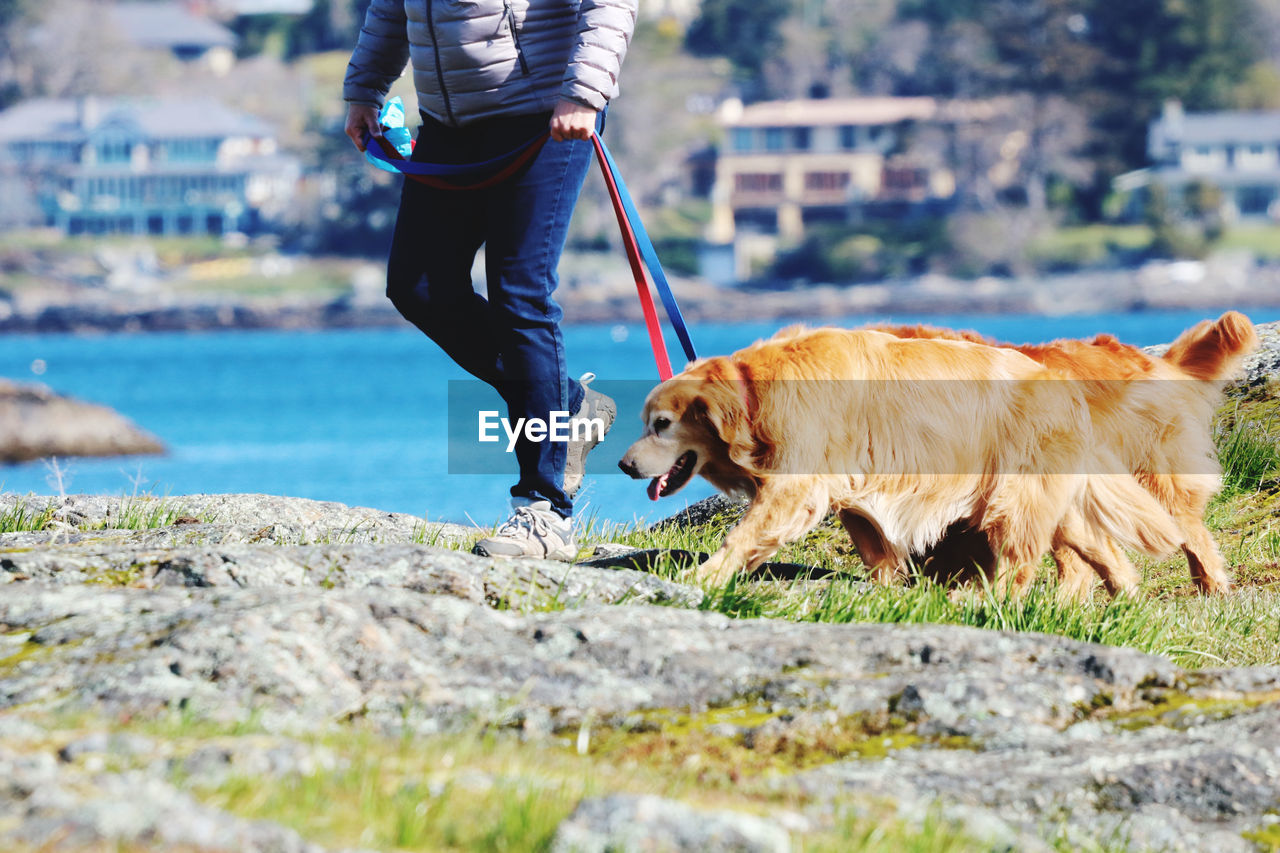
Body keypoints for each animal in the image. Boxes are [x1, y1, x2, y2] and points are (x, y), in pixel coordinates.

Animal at [616, 325, 1177, 591]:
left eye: (661, 424)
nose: (623, 465)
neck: (755, 392)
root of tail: (1064, 383)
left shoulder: (797, 485)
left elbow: (742, 534)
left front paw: (704, 578)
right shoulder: (850, 487)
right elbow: (873, 545)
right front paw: (888, 588)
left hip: (1012, 496)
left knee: (1020, 566)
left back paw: (987, 603)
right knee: (1102, 552)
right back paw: (1123, 596)